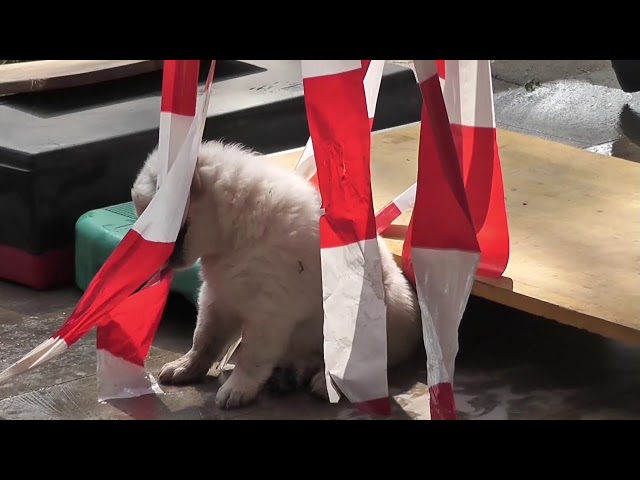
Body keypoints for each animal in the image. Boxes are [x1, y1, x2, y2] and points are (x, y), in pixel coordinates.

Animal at [131, 140, 423, 409]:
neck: (233, 231)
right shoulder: (218, 294)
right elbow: (204, 336)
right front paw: (185, 366)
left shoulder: (270, 309)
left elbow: (251, 355)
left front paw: (236, 389)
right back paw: (292, 374)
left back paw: (326, 382)